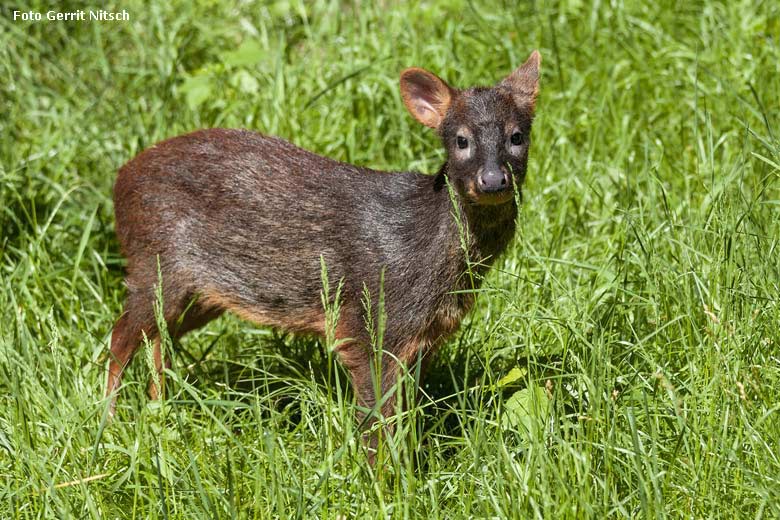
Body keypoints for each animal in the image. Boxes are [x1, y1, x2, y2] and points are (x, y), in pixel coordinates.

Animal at [106, 48, 540, 456]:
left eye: (517, 137)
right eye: (461, 140)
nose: (493, 180)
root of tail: (120, 181)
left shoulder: (423, 338)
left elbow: (406, 415)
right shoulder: (367, 323)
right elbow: (378, 421)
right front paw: (385, 477)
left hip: (204, 291)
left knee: (158, 339)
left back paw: (160, 412)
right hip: (156, 263)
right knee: (121, 336)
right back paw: (107, 423)